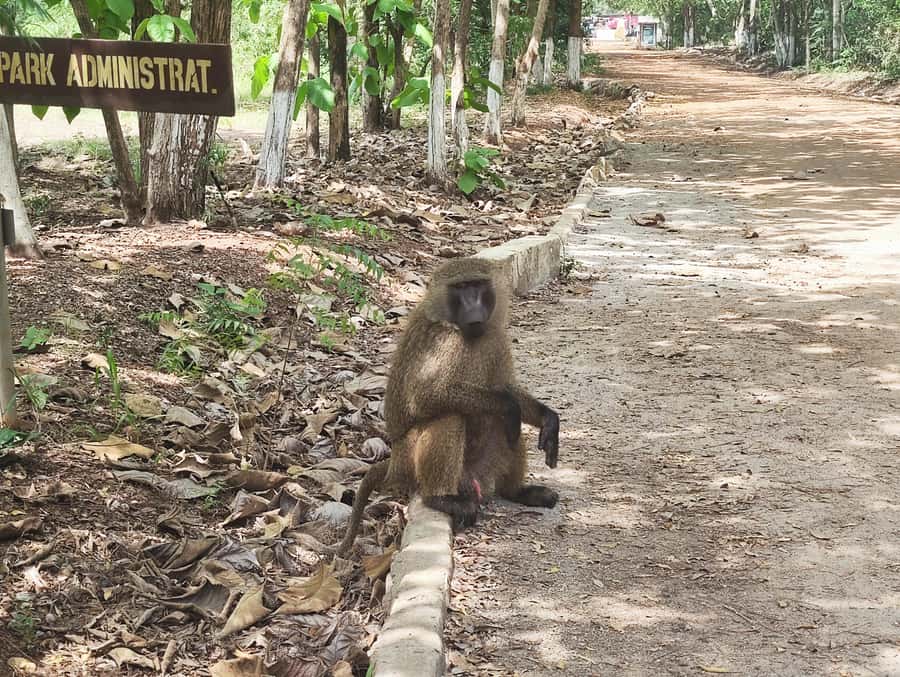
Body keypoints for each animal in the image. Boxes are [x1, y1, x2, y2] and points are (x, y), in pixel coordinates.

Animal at [334, 257, 560, 557]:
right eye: (461, 288)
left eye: (477, 285)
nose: (474, 307)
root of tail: (395, 462)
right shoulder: (443, 341)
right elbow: (427, 397)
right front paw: (509, 406)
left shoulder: (496, 337)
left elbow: (508, 388)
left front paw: (549, 420)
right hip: (412, 459)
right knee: (452, 417)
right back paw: (440, 498)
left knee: (502, 427)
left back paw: (516, 491)